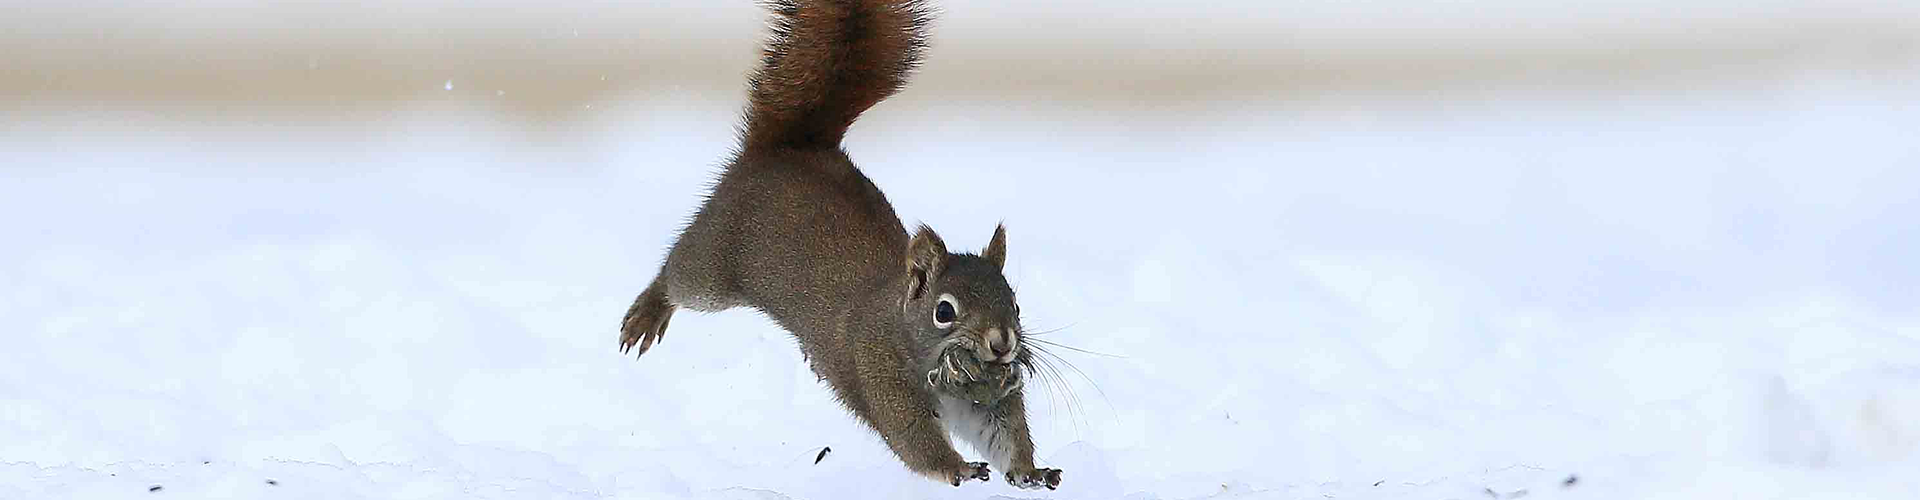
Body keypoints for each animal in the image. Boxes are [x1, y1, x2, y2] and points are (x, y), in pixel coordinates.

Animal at [617, 0, 1063, 490]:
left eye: (1015, 304)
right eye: (944, 312)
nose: (1002, 343)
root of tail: (790, 148)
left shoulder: (988, 399)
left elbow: (1005, 434)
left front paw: (1031, 471)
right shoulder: (881, 378)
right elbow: (916, 443)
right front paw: (958, 466)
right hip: (713, 268)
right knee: (675, 276)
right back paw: (647, 312)